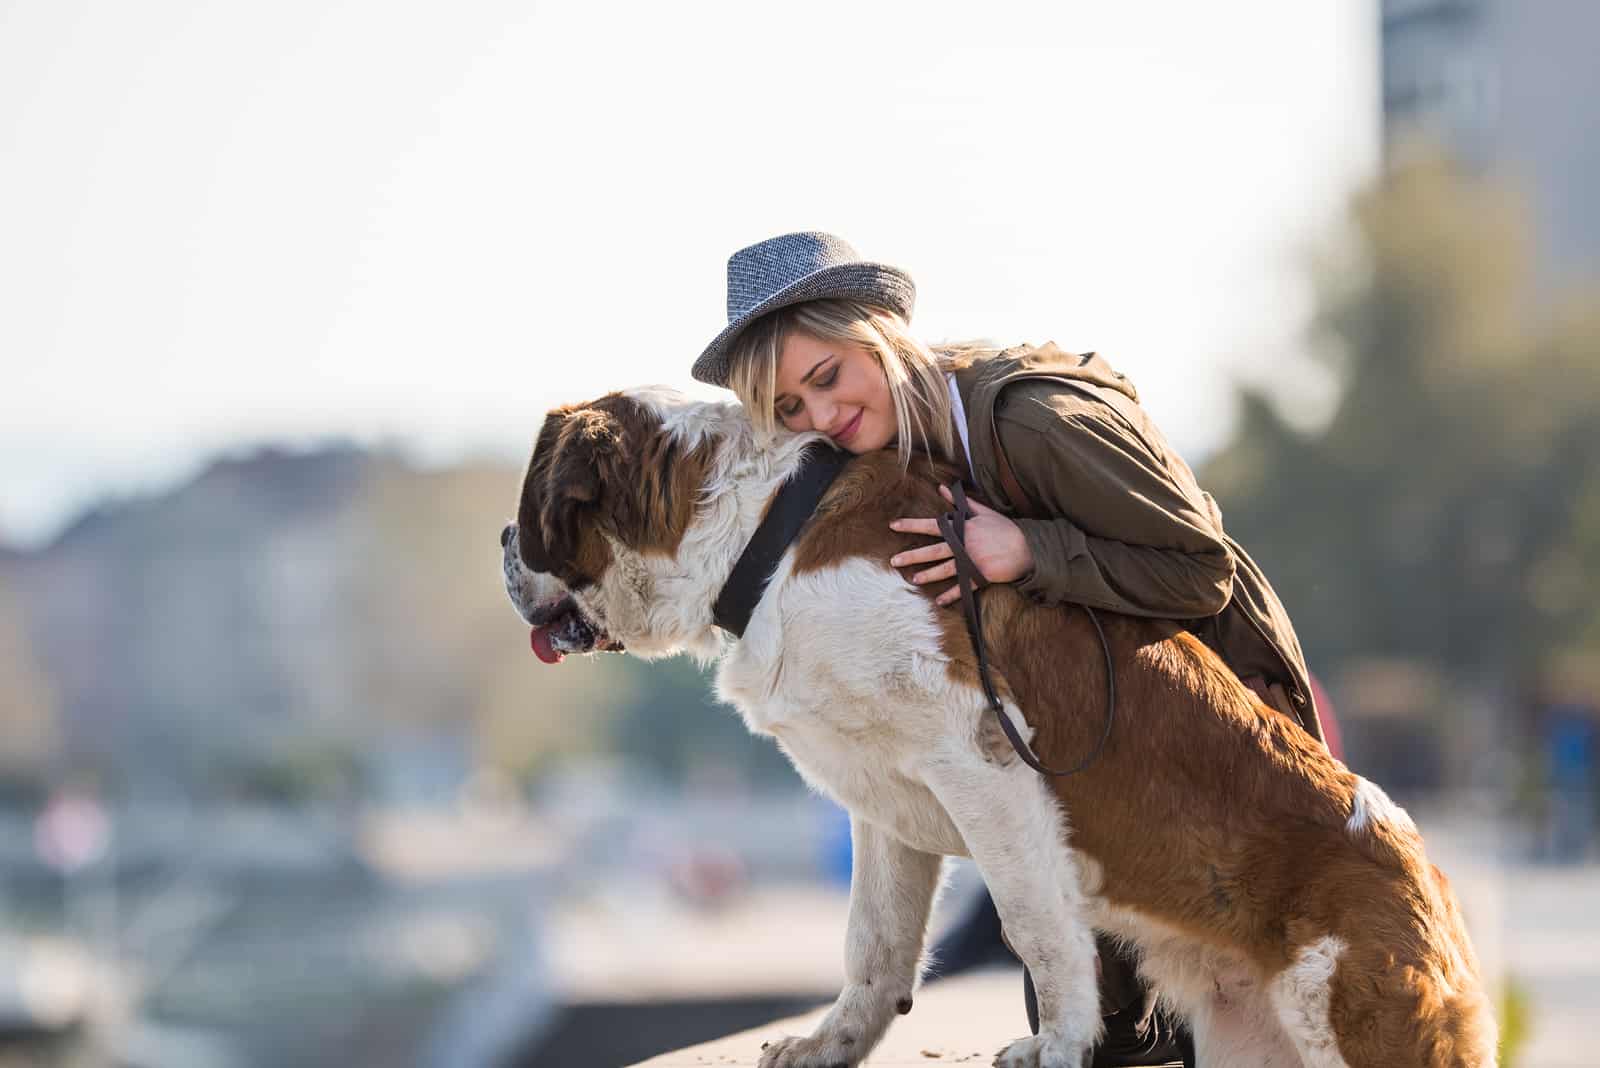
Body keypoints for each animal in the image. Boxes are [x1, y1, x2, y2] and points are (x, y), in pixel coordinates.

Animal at [499, 385, 1497, 1068]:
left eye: (528, 508)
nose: (502, 546)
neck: (763, 532)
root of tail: (1434, 880)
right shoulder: (885, 803)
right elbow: (875, 941)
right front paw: (832, 1043)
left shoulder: (986, 766)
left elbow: (1035, 924)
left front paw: (1059, 1045)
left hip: (1343, 1003)